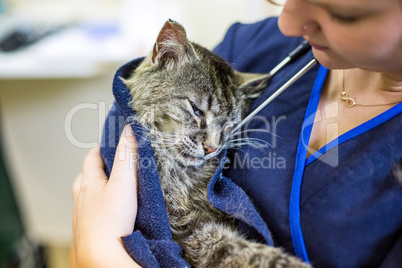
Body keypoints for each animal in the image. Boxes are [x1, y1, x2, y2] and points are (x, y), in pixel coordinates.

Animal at [122, 19, 308, 266]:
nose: (212, 148)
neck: (182, 175)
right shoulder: (186, 229)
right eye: (197, 111)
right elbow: (240, 251)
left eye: (229, 124)